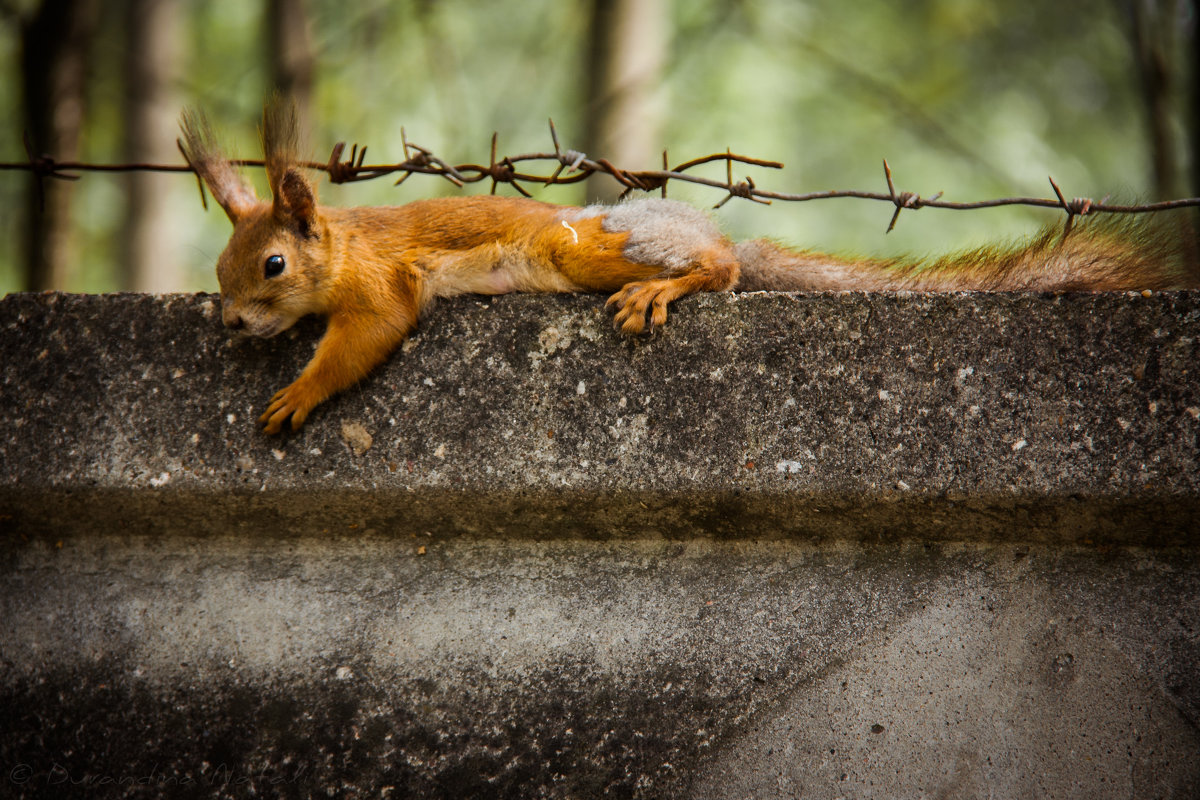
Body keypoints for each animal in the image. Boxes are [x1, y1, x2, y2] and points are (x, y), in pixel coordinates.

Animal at [180, 105, 1200, 434]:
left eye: (273, 263)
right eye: (222, 270)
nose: (228, 321)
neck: (344, 243)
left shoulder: (382, 287)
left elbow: (368, 338)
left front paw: (297, 394)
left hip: (582, 246)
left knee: (723, 270)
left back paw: (672, 283)